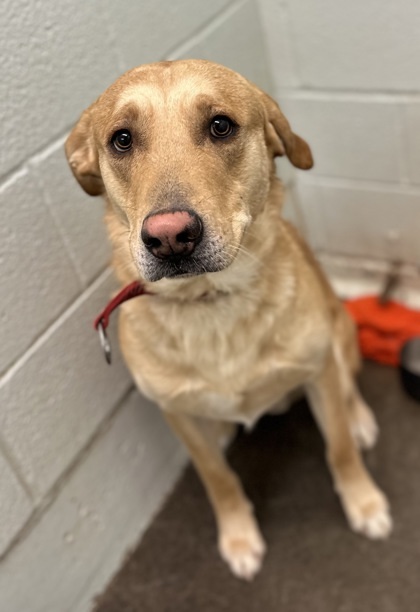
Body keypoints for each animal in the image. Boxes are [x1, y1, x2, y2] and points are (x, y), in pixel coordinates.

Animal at [65, 59, 390, 580]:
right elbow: (216, 477)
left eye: (221, 126)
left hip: (338, 336)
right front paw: (238, 536)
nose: (169, 237)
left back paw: (359, 418)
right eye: (121, 139)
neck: (211, 302)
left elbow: (338, 448)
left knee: (347, 384)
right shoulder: (176, 415)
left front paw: (363, 502)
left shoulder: (317, 370)